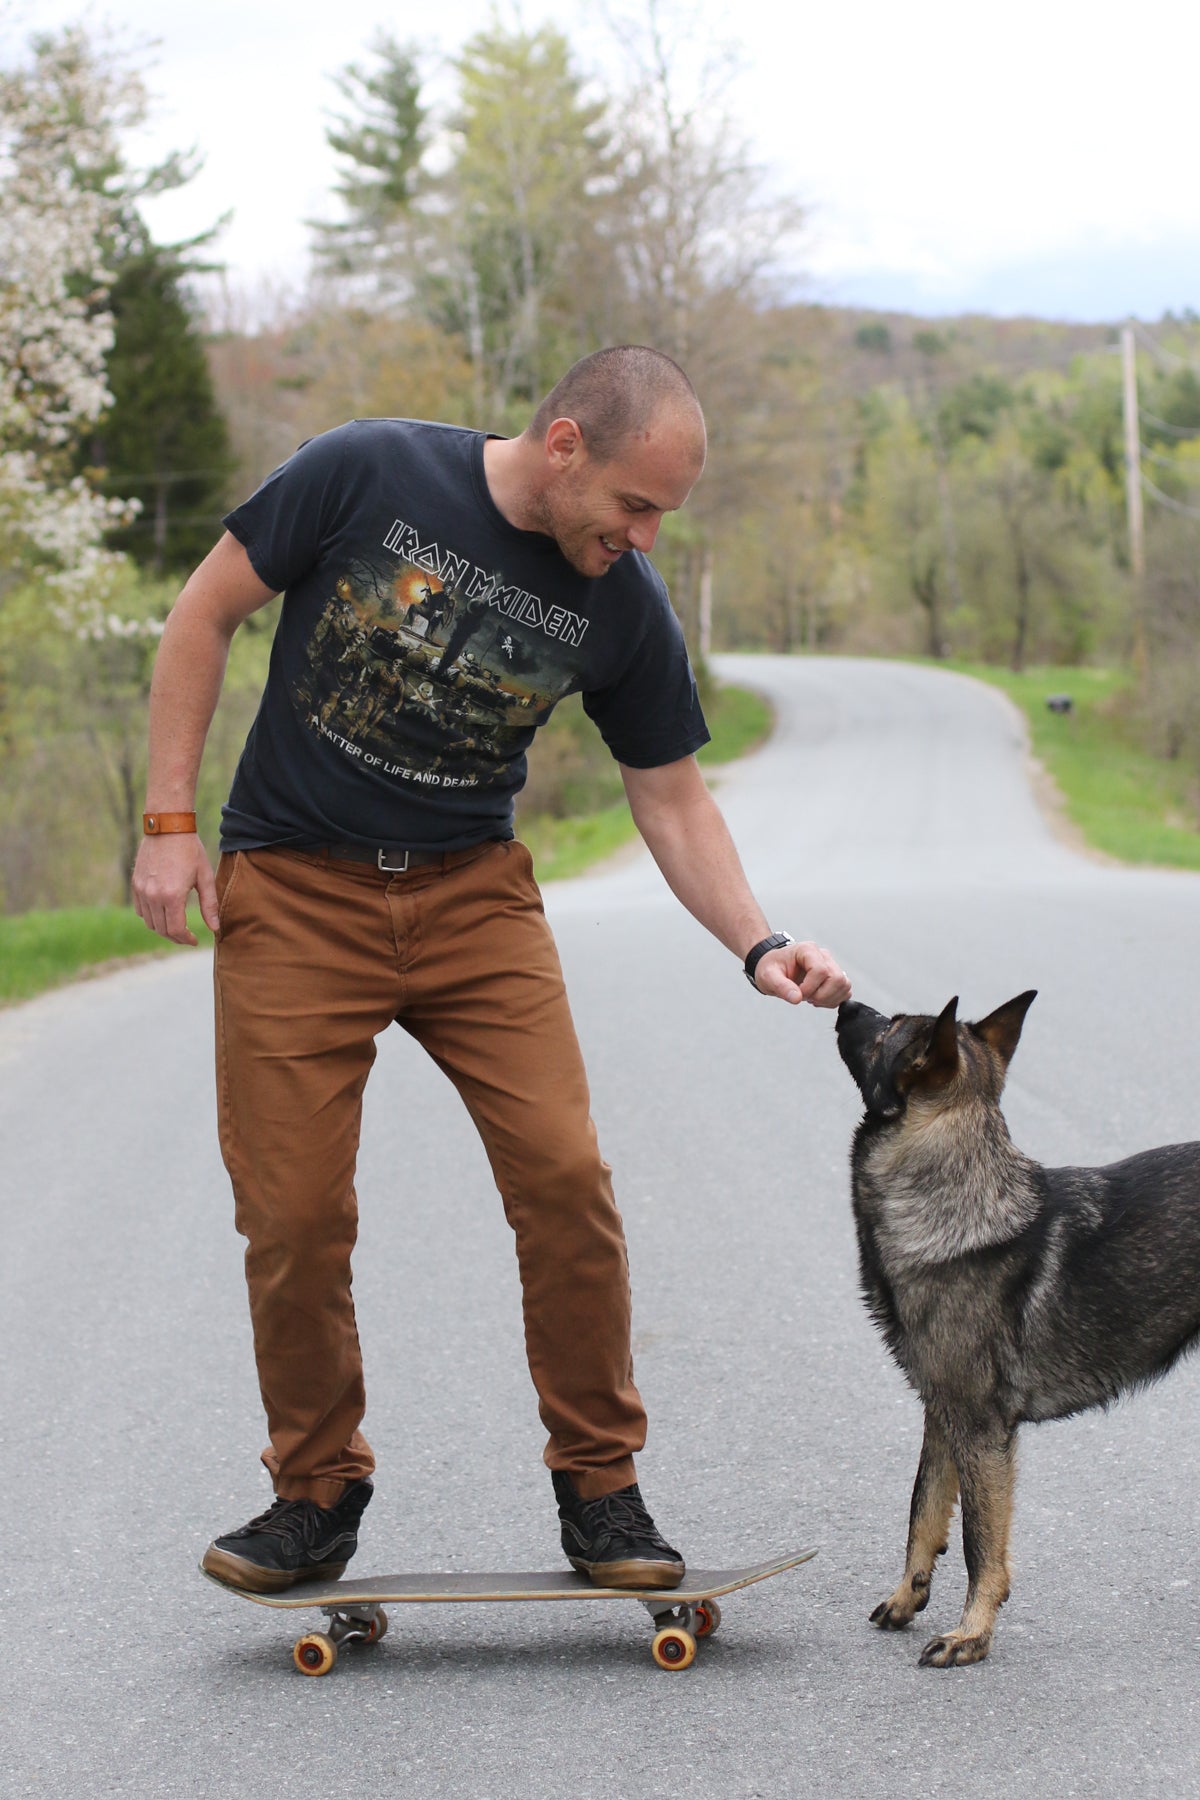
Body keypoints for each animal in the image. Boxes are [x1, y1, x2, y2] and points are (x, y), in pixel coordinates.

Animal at [834, 993, 1200, 1663]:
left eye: (890, 1026)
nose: (844, 1000)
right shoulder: (942, 1415)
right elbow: (922, 1512)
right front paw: (907, 1597)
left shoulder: (982, 1431)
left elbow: (981, 1544)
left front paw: (972, 1633)